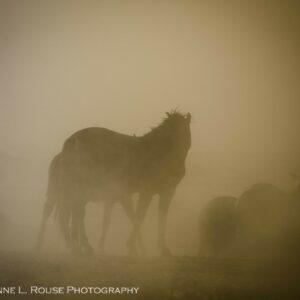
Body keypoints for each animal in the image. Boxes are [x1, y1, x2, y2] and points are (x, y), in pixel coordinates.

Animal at [38, 111, 191, 256]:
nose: (177, 168)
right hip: (76, 189)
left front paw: (159, 248)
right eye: (169, 133)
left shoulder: (165, 191)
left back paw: (78, 247)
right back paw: (72, 246)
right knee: (71, 213)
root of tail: (71, 141)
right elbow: (139, 217)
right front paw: (133, 247)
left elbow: (159, 216)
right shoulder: (147, 192)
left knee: (73, 214)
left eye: (183, 130)